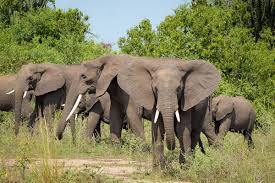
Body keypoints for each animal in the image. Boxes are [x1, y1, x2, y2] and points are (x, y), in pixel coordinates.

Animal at [56, 53, 222, 167]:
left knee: (201, 127)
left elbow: (132, 115)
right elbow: (116, 116)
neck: (107, 59)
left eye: (83, 76)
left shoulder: (128, 91)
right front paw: (116, 150)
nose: (59, 138)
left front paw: (144, 152)